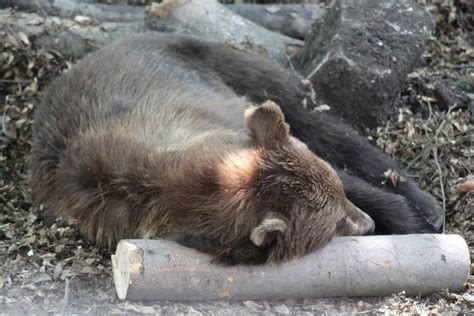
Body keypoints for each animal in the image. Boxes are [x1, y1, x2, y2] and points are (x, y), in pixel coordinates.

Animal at [31, 34, 442, 266]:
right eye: (335, 224)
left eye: (340, 202)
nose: (367, 223)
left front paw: (412, 218)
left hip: (217, 63)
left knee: (322, 124)